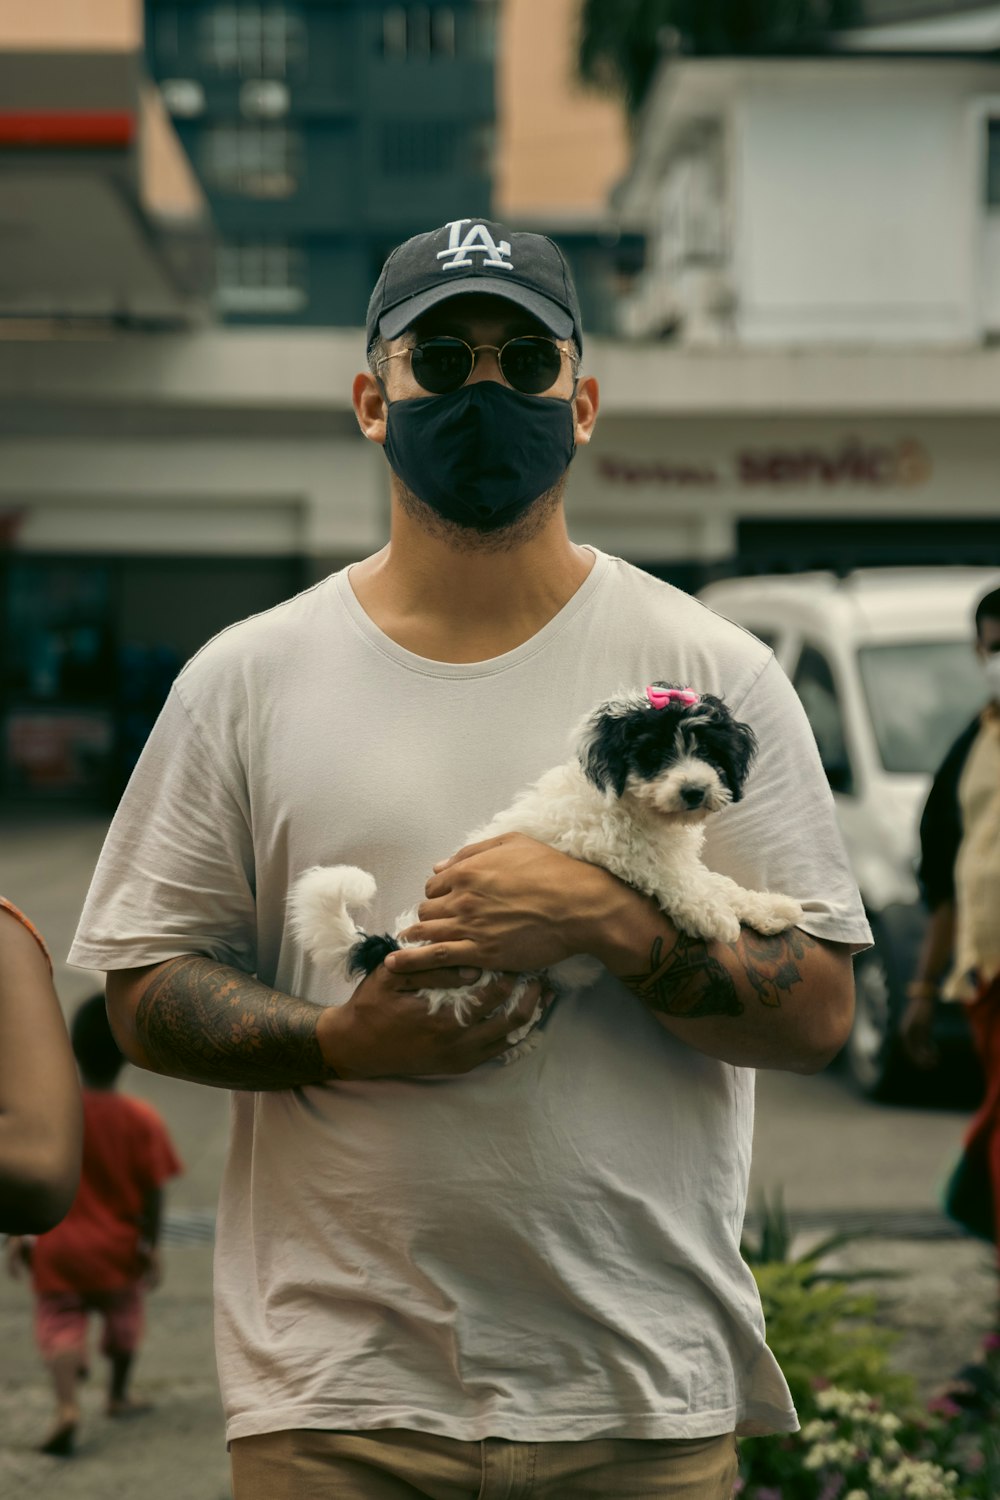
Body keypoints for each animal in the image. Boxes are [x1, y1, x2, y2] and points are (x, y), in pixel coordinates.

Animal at [289, 687, 803, 1062]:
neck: (635, 810)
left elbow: (714, 880)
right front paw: (709, 915)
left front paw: (767, 907)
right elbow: (666, 874)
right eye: (654, 753)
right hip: (474, 977)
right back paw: (516, 1041)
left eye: (711, 752)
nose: (695, 790)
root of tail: (391, 948)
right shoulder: (606, 846)